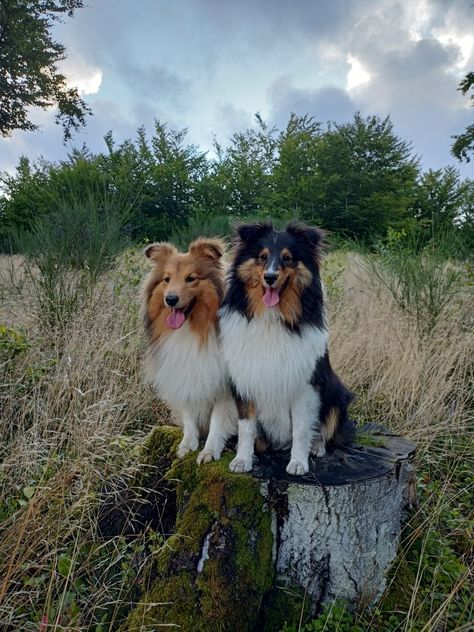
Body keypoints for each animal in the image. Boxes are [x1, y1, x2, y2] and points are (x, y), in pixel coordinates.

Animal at [141, 237, 237, 460]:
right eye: (166, 279)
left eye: (191, 278)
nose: (171, 299)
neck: (192, 329)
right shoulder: (184, 373)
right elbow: (189, 412)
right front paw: (188, 444)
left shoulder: (225, 384)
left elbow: (218, 419)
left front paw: (209, 451)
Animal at [217, 222, 354, 474]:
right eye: (262, 257)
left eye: (288, 258)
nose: (270, 277)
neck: (272, 317)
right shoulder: (245, 380)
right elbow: (246, 428)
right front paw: (243, 459)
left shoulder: (305, 385)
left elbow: (301, 428)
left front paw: (298, 462)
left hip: (336, 393)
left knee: (325, 430)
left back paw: (316, 447)